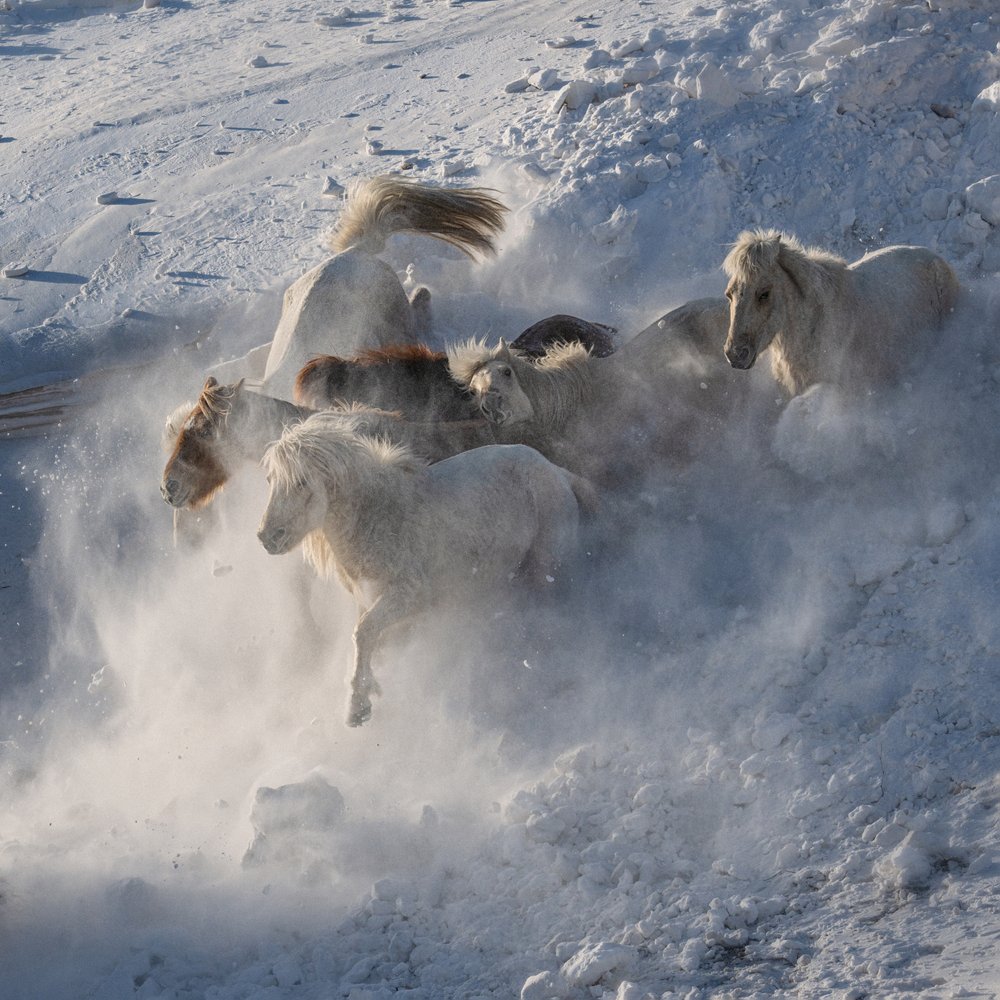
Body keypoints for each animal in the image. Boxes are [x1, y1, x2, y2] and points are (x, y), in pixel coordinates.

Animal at [256, 413, 588, 726]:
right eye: (271, 480)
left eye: (301, 482)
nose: (267, 537)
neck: (380, 518)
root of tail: (556, 471)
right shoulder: (370, 601)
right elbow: (371, 641)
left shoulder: (409, 598)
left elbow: (363, 633)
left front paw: (358, 707)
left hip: (547, 569)